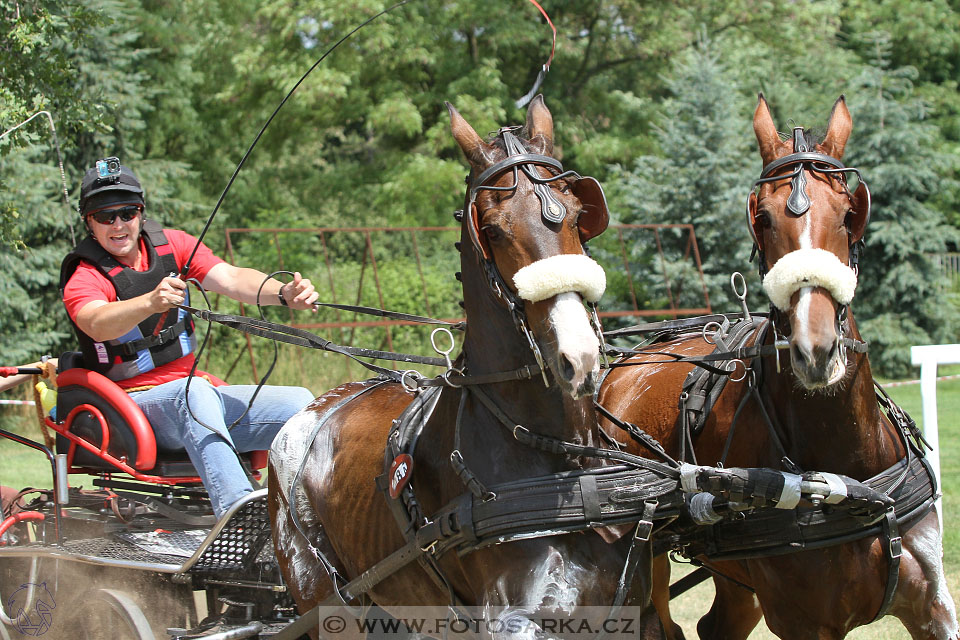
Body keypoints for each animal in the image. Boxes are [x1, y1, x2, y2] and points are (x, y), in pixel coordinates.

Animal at [272, 96, 660, 640]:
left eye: (578, 215)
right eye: (492, 229)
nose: (579, 355)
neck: (561, 462)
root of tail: (314, 409)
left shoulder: (638, 611)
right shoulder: (515, 619)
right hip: (325, 602)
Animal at [596, 96, 956, 640]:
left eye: (849, 214)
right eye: (762, 218)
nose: (815, 348)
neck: (849, 470)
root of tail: (623, 367)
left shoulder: (933, 607)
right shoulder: (804, 622)